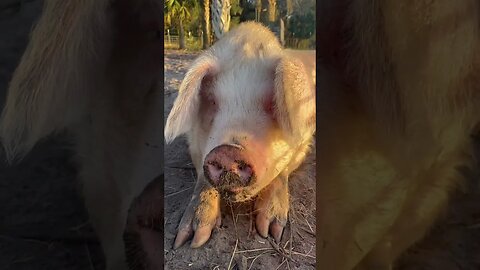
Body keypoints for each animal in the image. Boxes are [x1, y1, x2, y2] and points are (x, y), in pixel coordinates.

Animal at [163, 22, 316, 250]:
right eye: (213, 101)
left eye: (272, 102)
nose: (228, 152)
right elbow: (203, 179)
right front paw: (189, 240)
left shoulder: (303, 143)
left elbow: (281, 172)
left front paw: (271, 231)